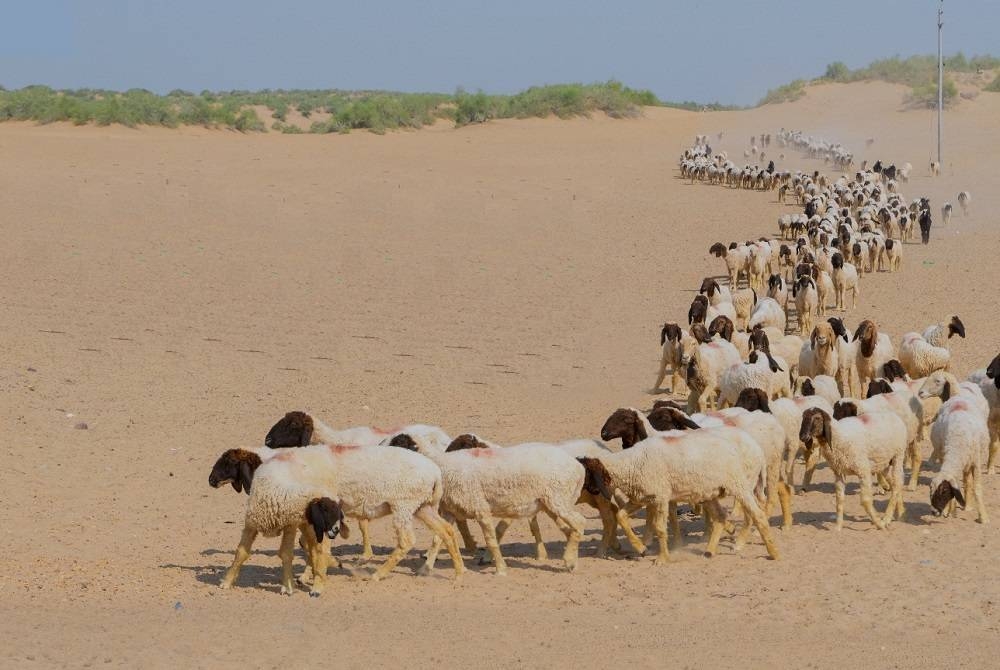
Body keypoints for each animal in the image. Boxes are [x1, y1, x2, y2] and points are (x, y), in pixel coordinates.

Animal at [420, 440, 584, 576]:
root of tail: (578, 467)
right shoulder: (450, 511)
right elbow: (437, 539)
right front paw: (424, 569)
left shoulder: (480, 507)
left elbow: (491, 540)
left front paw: (500, 569)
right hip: (549, 502)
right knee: (570, 529)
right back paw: (571, 560)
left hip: (558, 497)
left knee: (580, 522)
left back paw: (570, 560)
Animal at [576, 428, 776, 564]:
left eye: (586, 474)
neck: (632, 464)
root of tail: (757, 448)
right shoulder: (642, 497)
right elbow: (621, 516)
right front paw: (641, 548)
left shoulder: (660, 496)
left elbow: (659, 528)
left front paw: (662, 558)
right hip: (711, 492)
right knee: (720, 516)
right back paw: (710, 550)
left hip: (740, 484)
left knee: (757, 515)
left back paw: (772, 552)